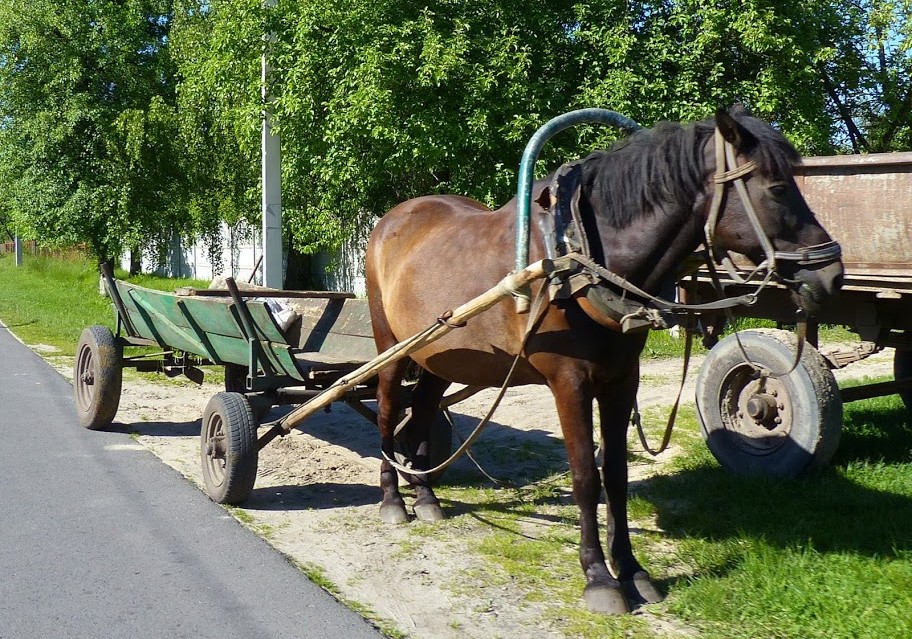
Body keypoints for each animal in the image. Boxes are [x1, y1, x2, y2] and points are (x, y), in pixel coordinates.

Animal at [362, 110, 840, 616]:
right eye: (776, 188)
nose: (832, 275)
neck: (578, 262)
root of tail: (390, 220)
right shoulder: (568, 382)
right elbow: (585, 477)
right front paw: (598, 577)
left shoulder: (621, 380)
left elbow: (615, 473)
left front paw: (631, 569)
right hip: (392, 348)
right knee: (389, 414)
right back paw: (392, 499)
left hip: (438, 358)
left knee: (421, 415)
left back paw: (426, 496)